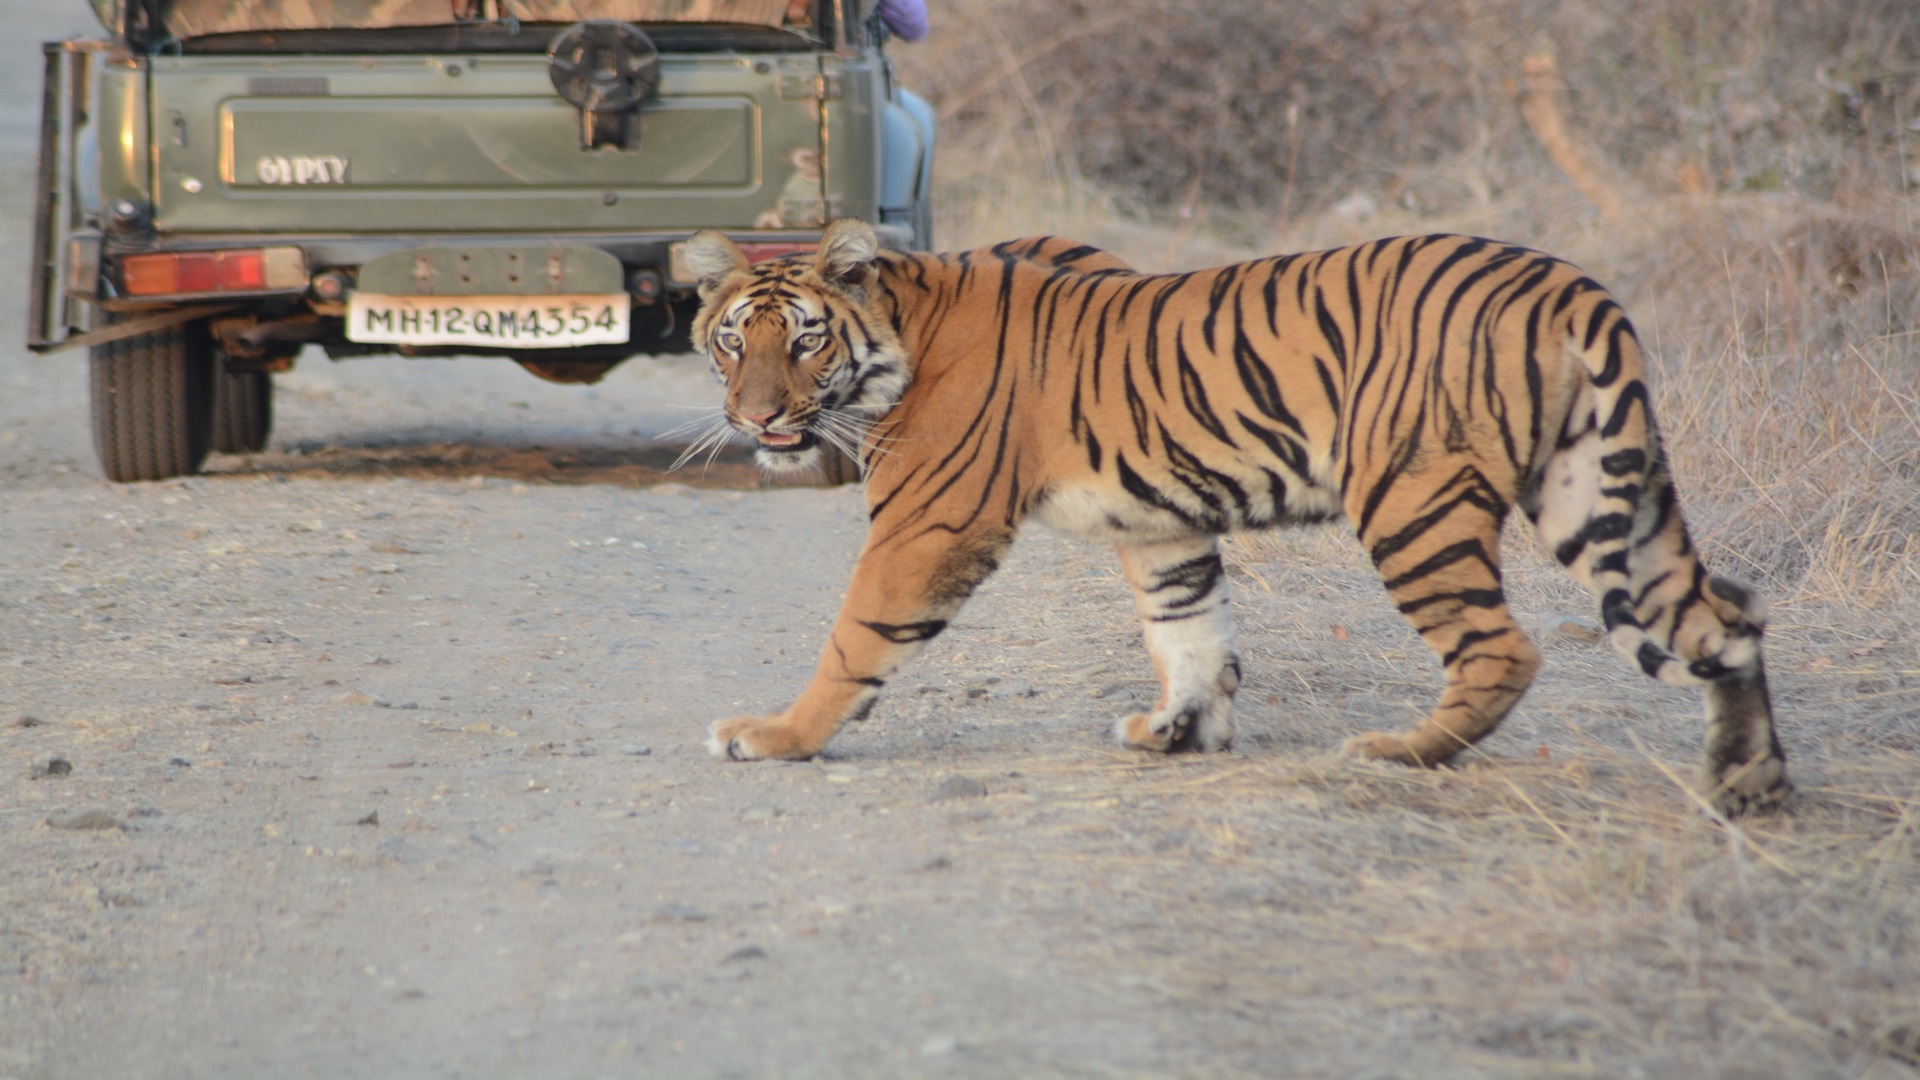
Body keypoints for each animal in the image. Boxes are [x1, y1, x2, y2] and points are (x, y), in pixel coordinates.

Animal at [683, 216, 1789, 807]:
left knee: (1503, 648)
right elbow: (1189, 629)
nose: (757, 418)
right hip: (1596, 490)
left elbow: (855, 636)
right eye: (734, 341)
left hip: (1414, 502)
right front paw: (1178, 730)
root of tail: (1568, 284)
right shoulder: (1161, 524)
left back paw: (1399, 753)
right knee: (1725, 619)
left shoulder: (929, 523)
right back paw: (1750, 784)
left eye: (807, 340)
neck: (900, 335)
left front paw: (778, 736)